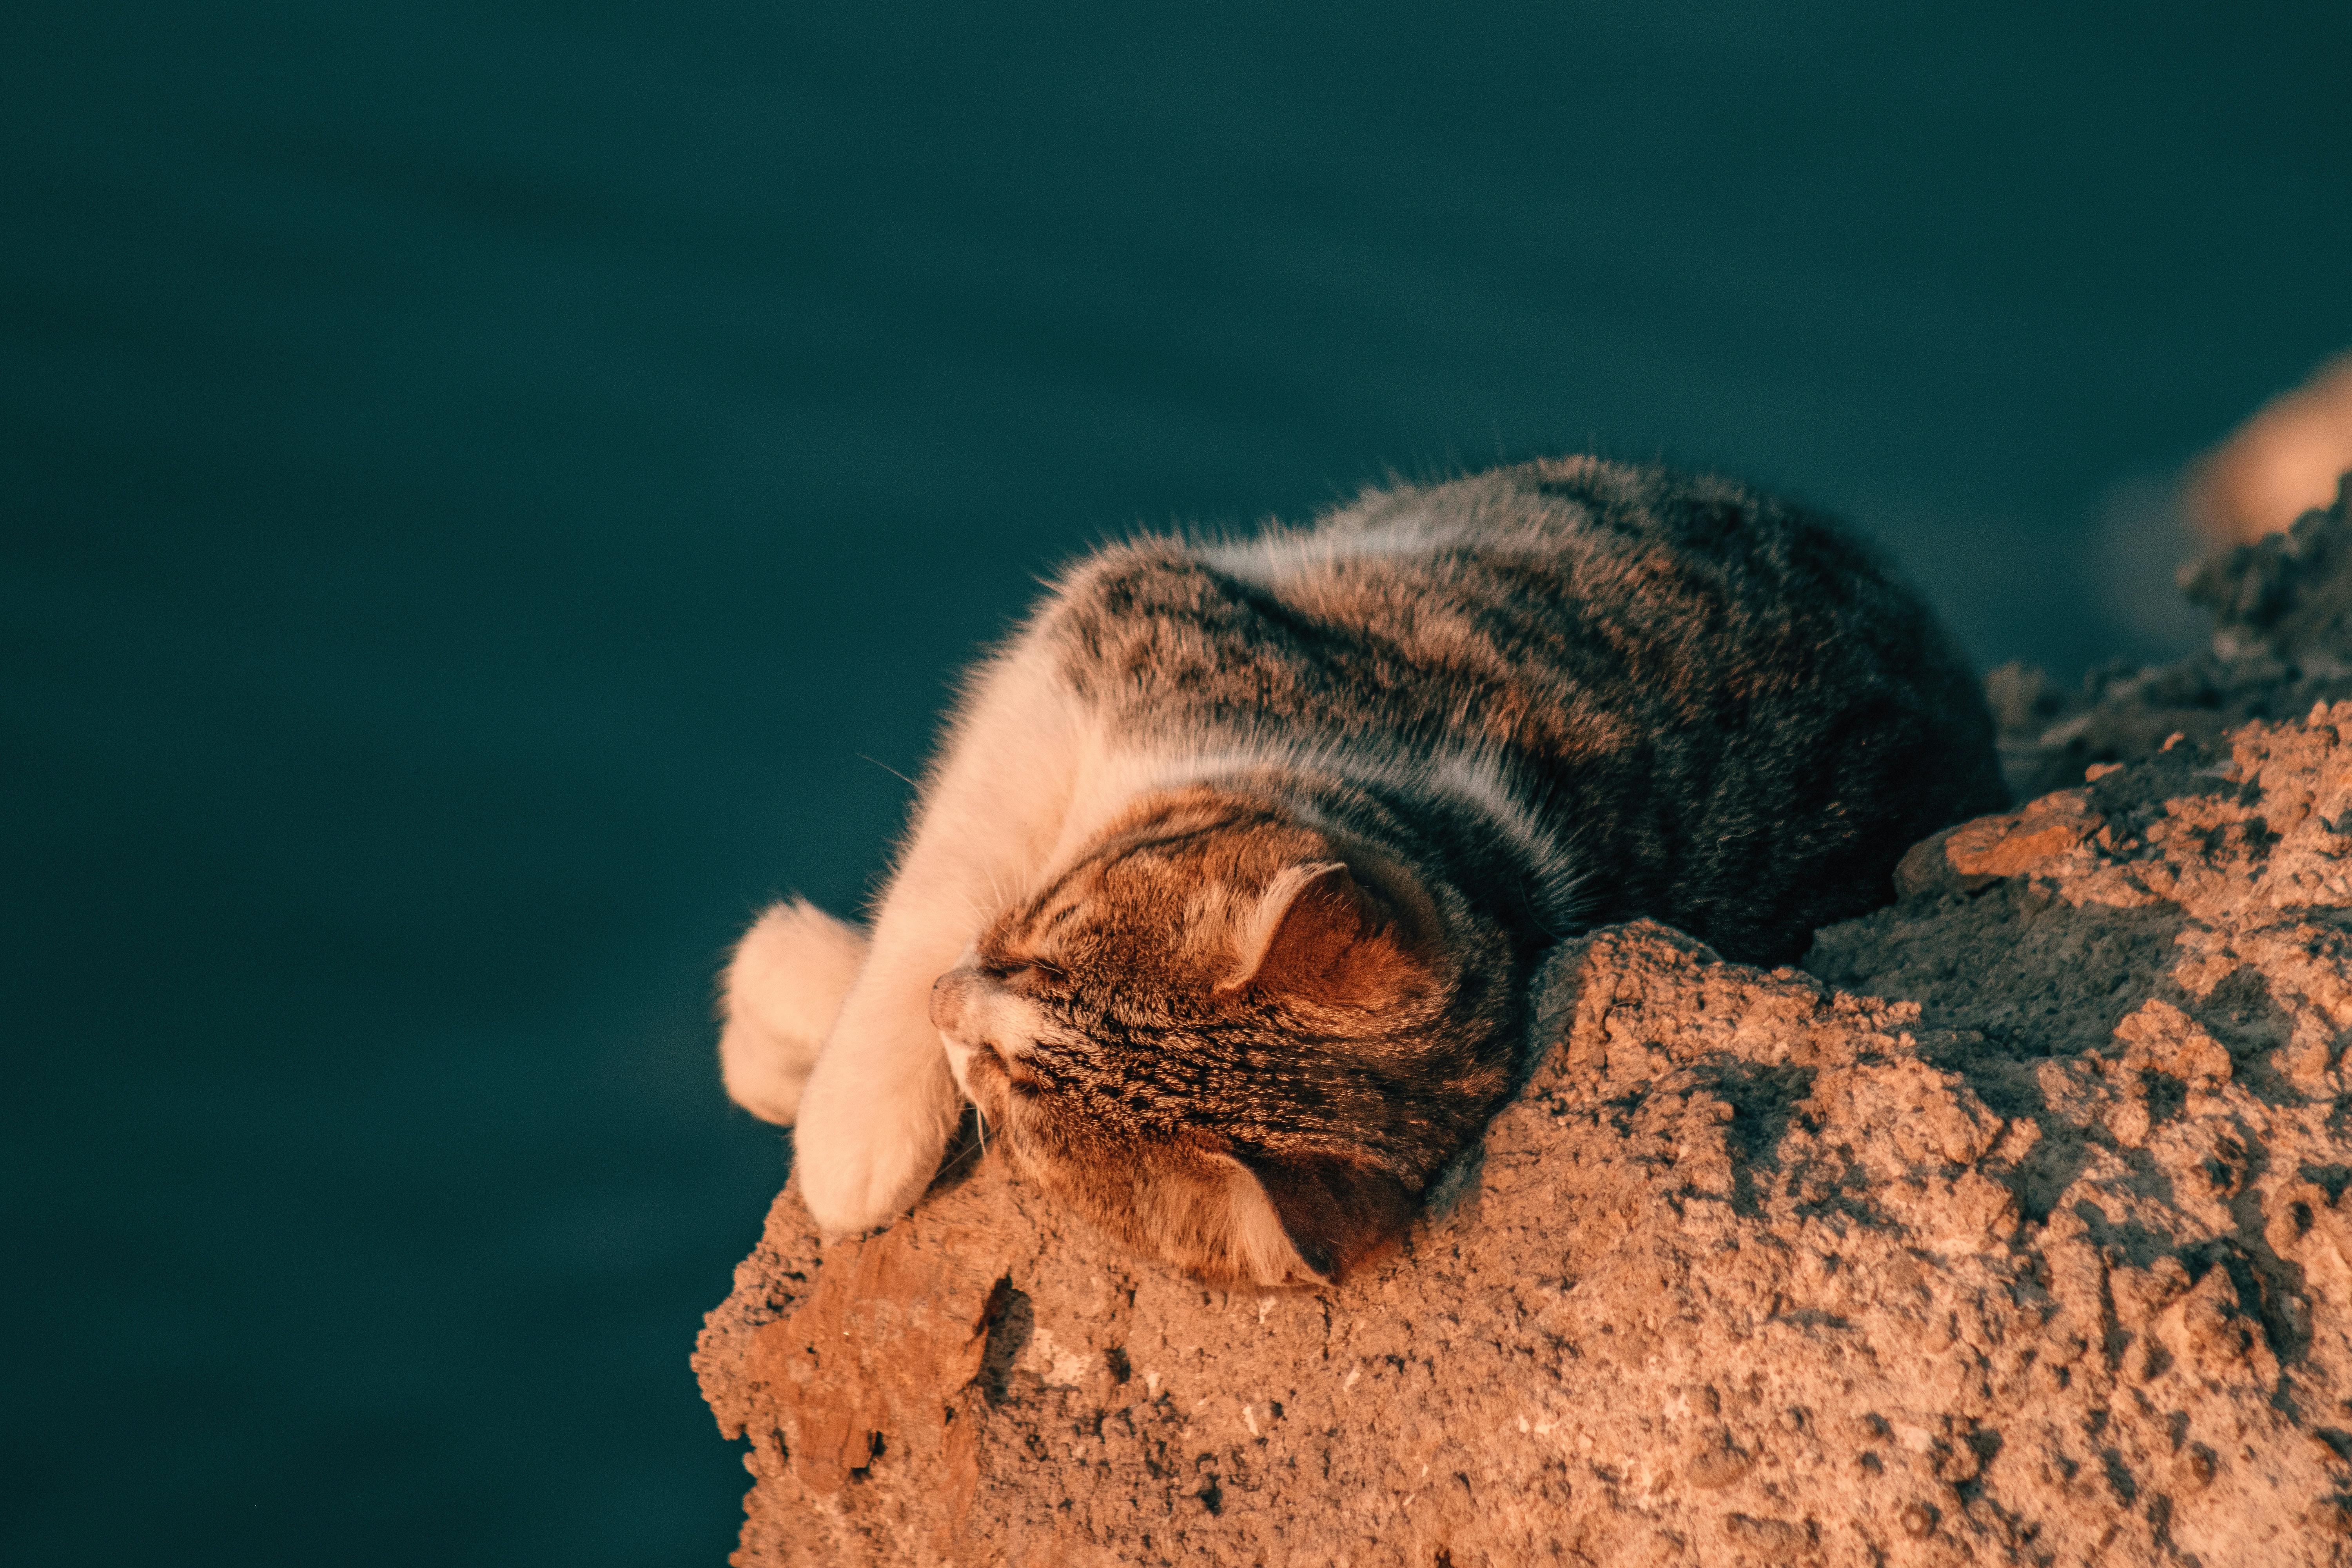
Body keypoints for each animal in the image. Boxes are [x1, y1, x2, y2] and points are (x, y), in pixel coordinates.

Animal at [715, 454, 2004, 1288]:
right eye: (1056, 929)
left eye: (1023, 1107)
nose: (955, 1004)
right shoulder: (1133, 625)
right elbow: (950, 866)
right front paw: (838, 1054)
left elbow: (947, 892)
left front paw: (838, 1111)